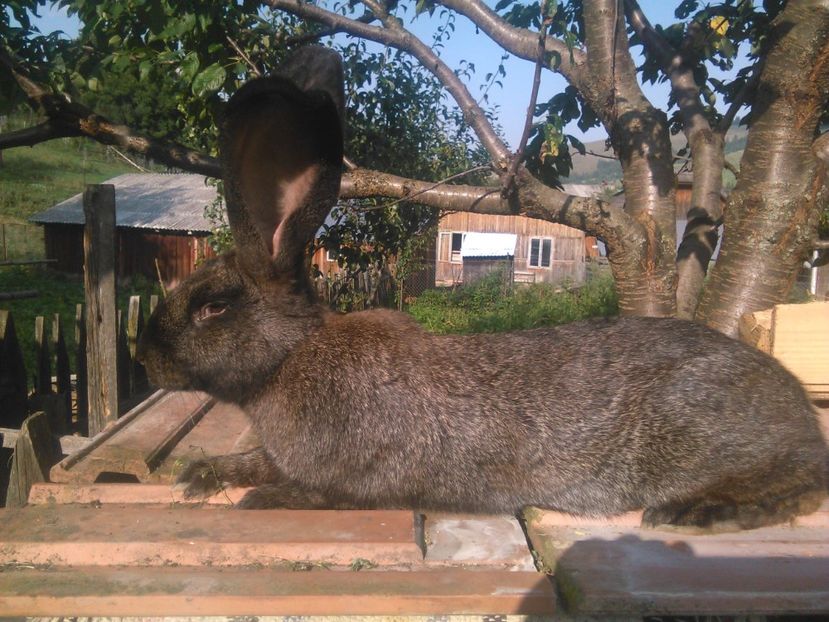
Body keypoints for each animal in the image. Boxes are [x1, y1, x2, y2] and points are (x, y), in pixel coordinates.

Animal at [134, 46, 820, 532]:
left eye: (213, 307)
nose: (144, 359)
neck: (290, 358)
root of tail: (802, 416)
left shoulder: (354, 480)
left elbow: (311, 491)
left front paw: (257, 499)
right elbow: (251, 460)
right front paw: (202, 472)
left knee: (800, 489)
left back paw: (698, 513)